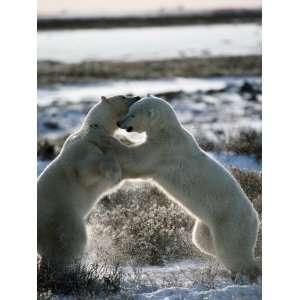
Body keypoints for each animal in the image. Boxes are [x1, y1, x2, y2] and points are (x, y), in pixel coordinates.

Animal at [37, 95, 141, 270]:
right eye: (123, 96)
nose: (138, 96)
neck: (94, 127)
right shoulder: (83, 150)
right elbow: (86, 170)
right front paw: (115, 172)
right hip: (62, 217)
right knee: (74, 239)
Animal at [98, 95, 260, 278]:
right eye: (128, 111)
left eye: (132, 114)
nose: (119, 123)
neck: (167, 130)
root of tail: (255, 217)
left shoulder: (164, 150)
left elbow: (137, 160)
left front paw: (106, 138)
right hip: (208, 224)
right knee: (202, 241)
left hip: (230, 222)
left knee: (232, 251)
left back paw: (248, 272)